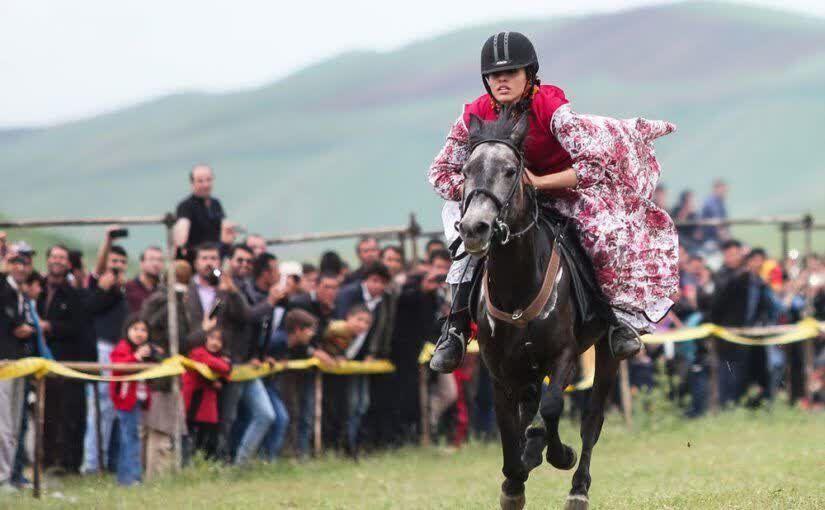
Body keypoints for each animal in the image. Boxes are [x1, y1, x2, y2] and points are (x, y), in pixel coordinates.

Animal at [458, 108, 616, 510]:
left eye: (510, 170)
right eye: (466, 170)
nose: (474, 228)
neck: (517, 292)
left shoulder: (564, 355)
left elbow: (554, 407)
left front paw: (560, 455)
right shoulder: (499, 371)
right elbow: (508, 432)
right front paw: (514, 483)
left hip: (606, 351)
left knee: (591, 419)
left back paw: (578, 488)